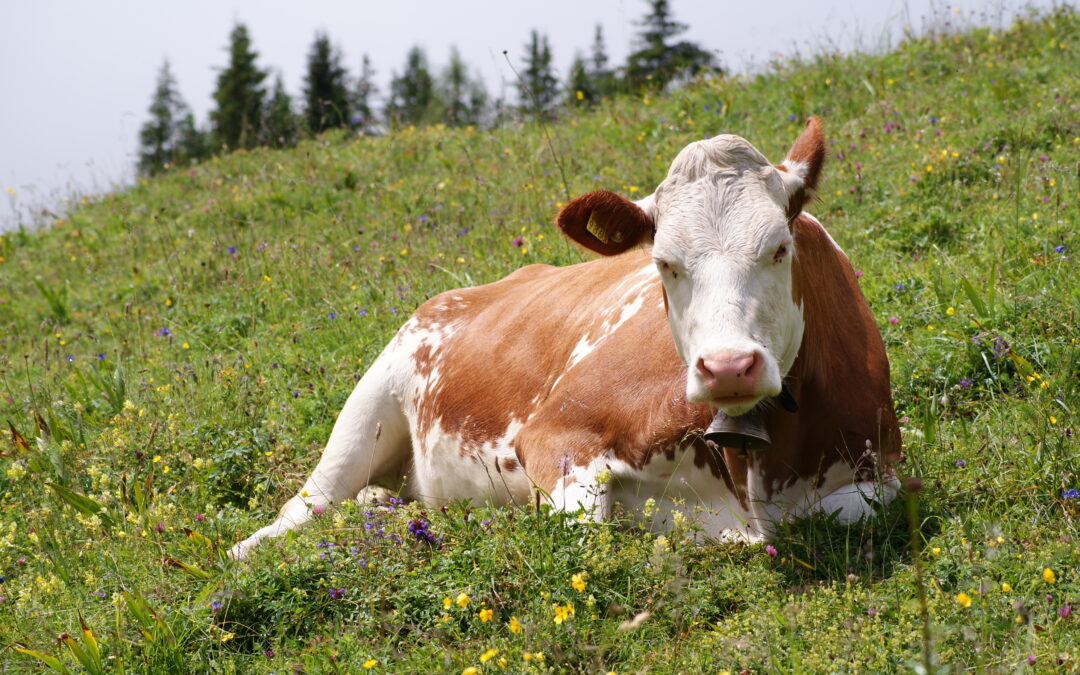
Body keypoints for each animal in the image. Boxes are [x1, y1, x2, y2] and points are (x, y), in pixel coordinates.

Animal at [230, 117, 901, 561]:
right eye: (664, 263)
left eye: (780, 248)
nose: (728, 366)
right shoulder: (556, 434)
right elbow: (586, 531)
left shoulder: (881, 473)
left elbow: (857, 510)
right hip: (370, 402)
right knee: (307, 505)